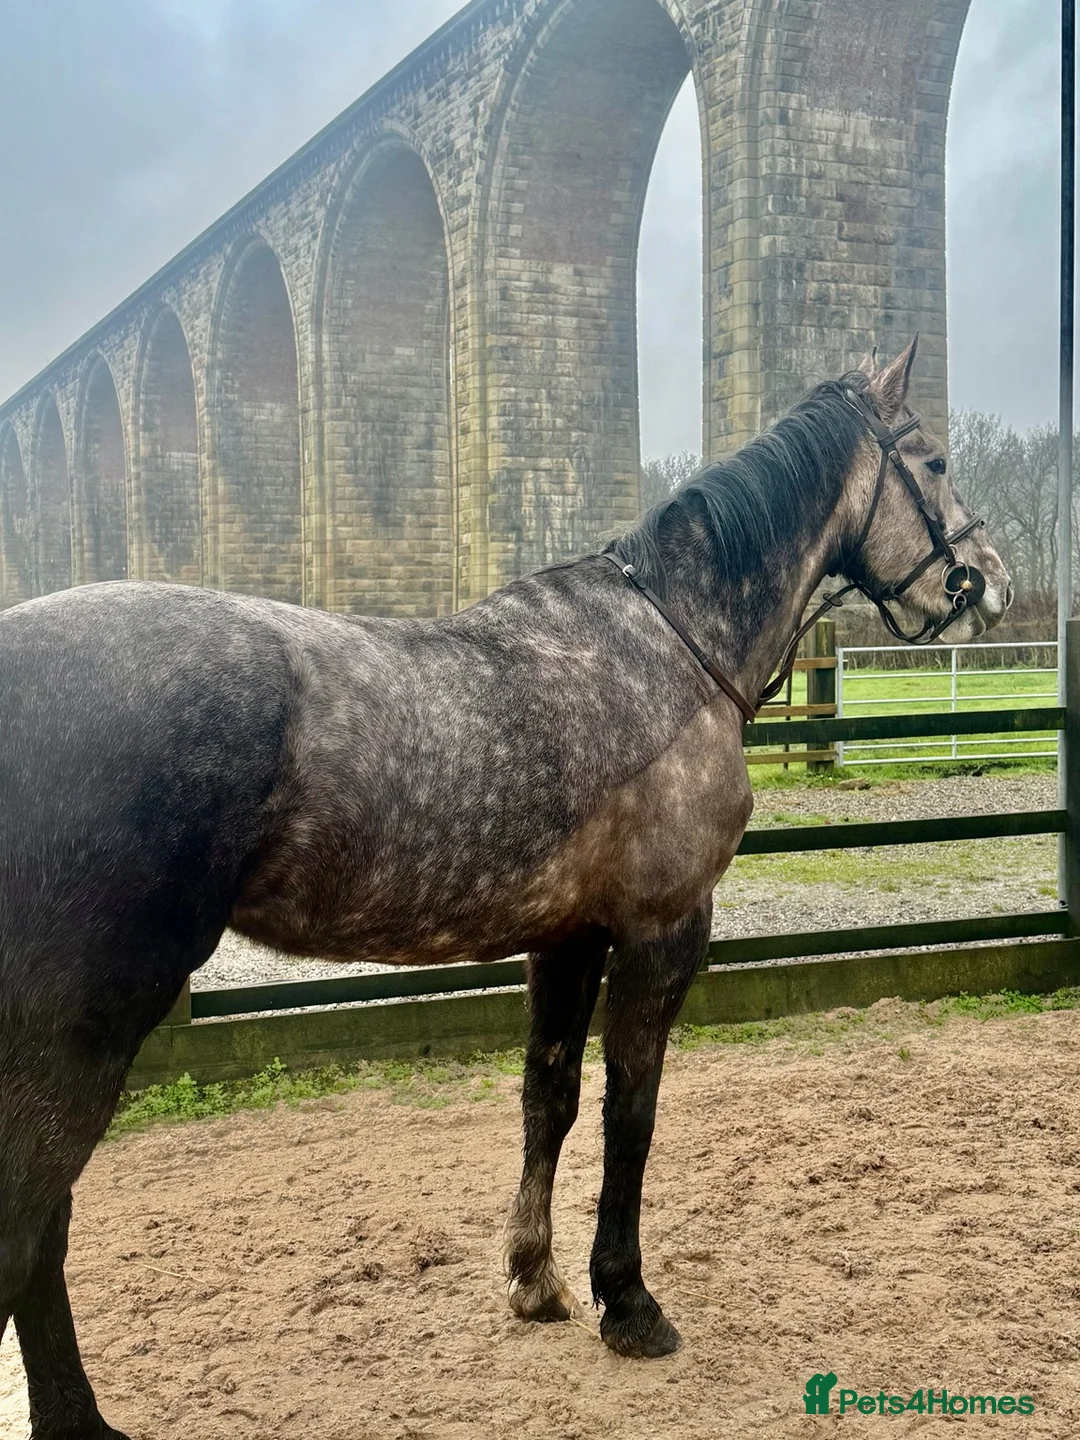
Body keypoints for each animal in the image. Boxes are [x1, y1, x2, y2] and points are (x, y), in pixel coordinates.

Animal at [0, 339, 1010, 1438]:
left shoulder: (567, 937)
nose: (991, 585)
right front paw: (629, 1301)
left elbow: (550, 1098)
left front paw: (536, 1280)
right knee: (30, 1223)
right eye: (935, 460)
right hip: (81, 1025)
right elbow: (630, 1114)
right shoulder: (663, 931)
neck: (669, 641)